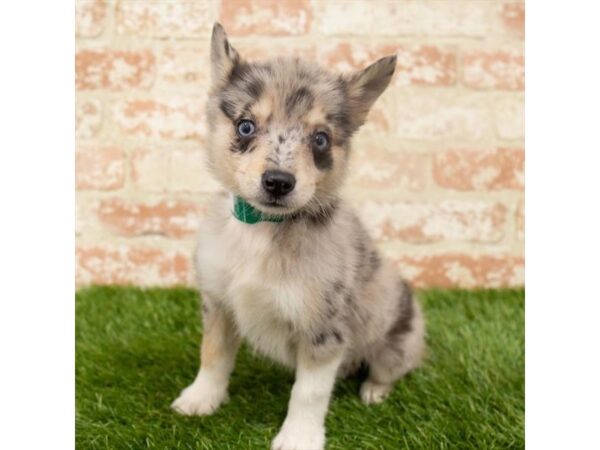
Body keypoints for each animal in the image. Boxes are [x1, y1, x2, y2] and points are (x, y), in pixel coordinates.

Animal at [172, 24, 426, 450]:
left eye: (320, 138)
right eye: (245, 126)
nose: (278, 182)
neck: (263, 228)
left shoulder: (324, 329)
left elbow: (309, 392)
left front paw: (299, 437)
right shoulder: (219, 302)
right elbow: (213, 354)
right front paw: (200, 398)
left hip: (397, 341)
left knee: (387, 369)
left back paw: (374, 390)